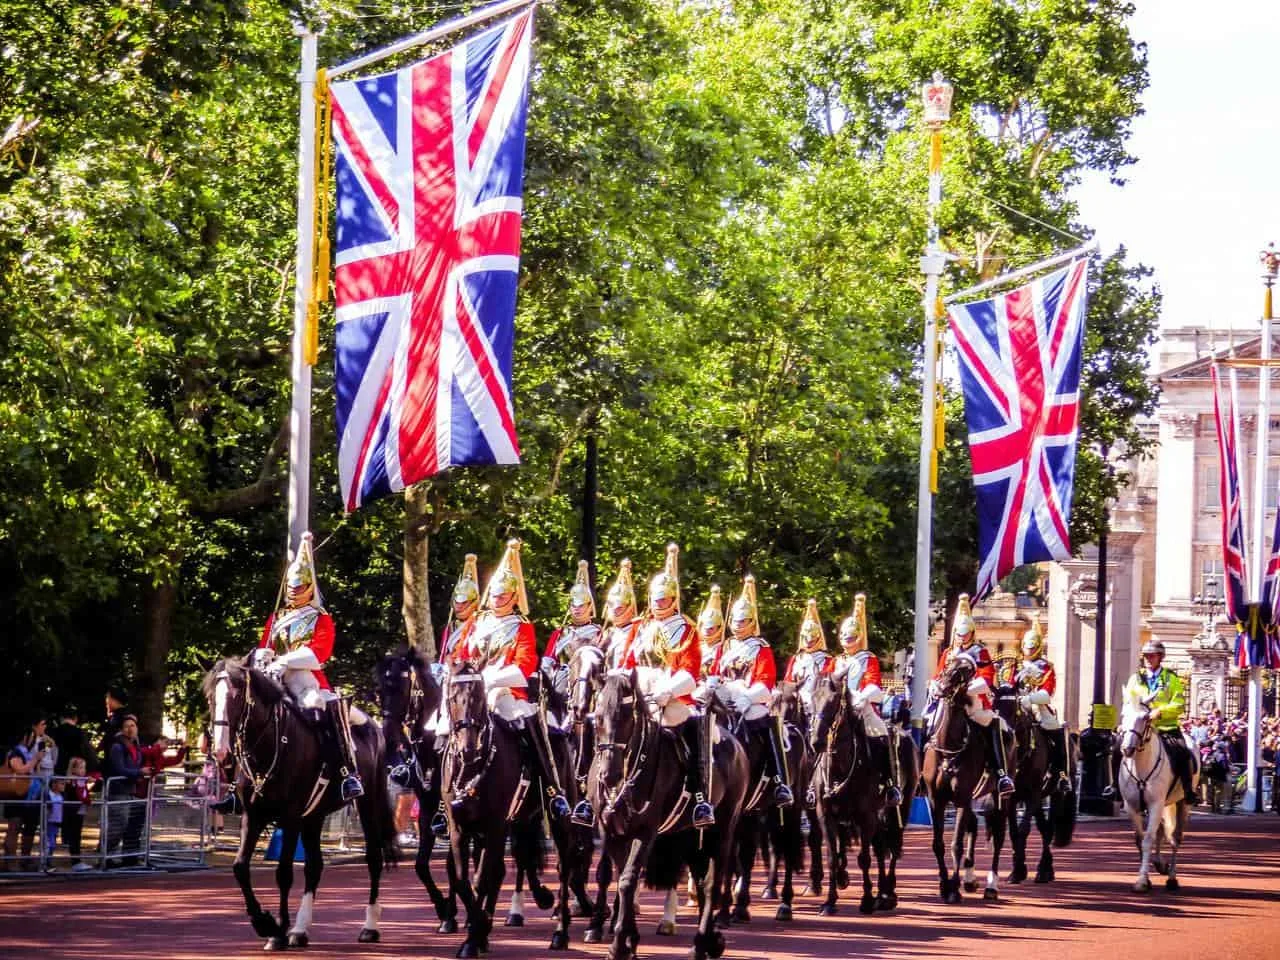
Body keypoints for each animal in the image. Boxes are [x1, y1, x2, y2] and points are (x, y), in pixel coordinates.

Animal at [206, 660, 394, 952]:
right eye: (210, 698)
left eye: (237, 696)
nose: (221, 752)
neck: (270, 745)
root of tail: (372, 724)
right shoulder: (253, 815)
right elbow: (240, 867)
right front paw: (264, 922)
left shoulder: (291, 816)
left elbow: (283, 872)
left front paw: (276, 930)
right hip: (314, 816)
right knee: (314, 866)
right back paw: (300, 930)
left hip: (368, 803)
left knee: (374, 858)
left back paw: (369, 926)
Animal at [1116, 701, 1192, 896]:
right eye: (1123, 715)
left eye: (1145, 718)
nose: (1127, 749)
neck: (1140, 765)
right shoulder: (1132, 807)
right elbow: (1140, 839)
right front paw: (1147, 877)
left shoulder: (1156, 805)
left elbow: (1147, 840)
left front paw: (1142, 881)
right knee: (1161, 831)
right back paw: (1160, 864)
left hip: (1182, 804)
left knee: (1175, 838)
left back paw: (1171, 878)